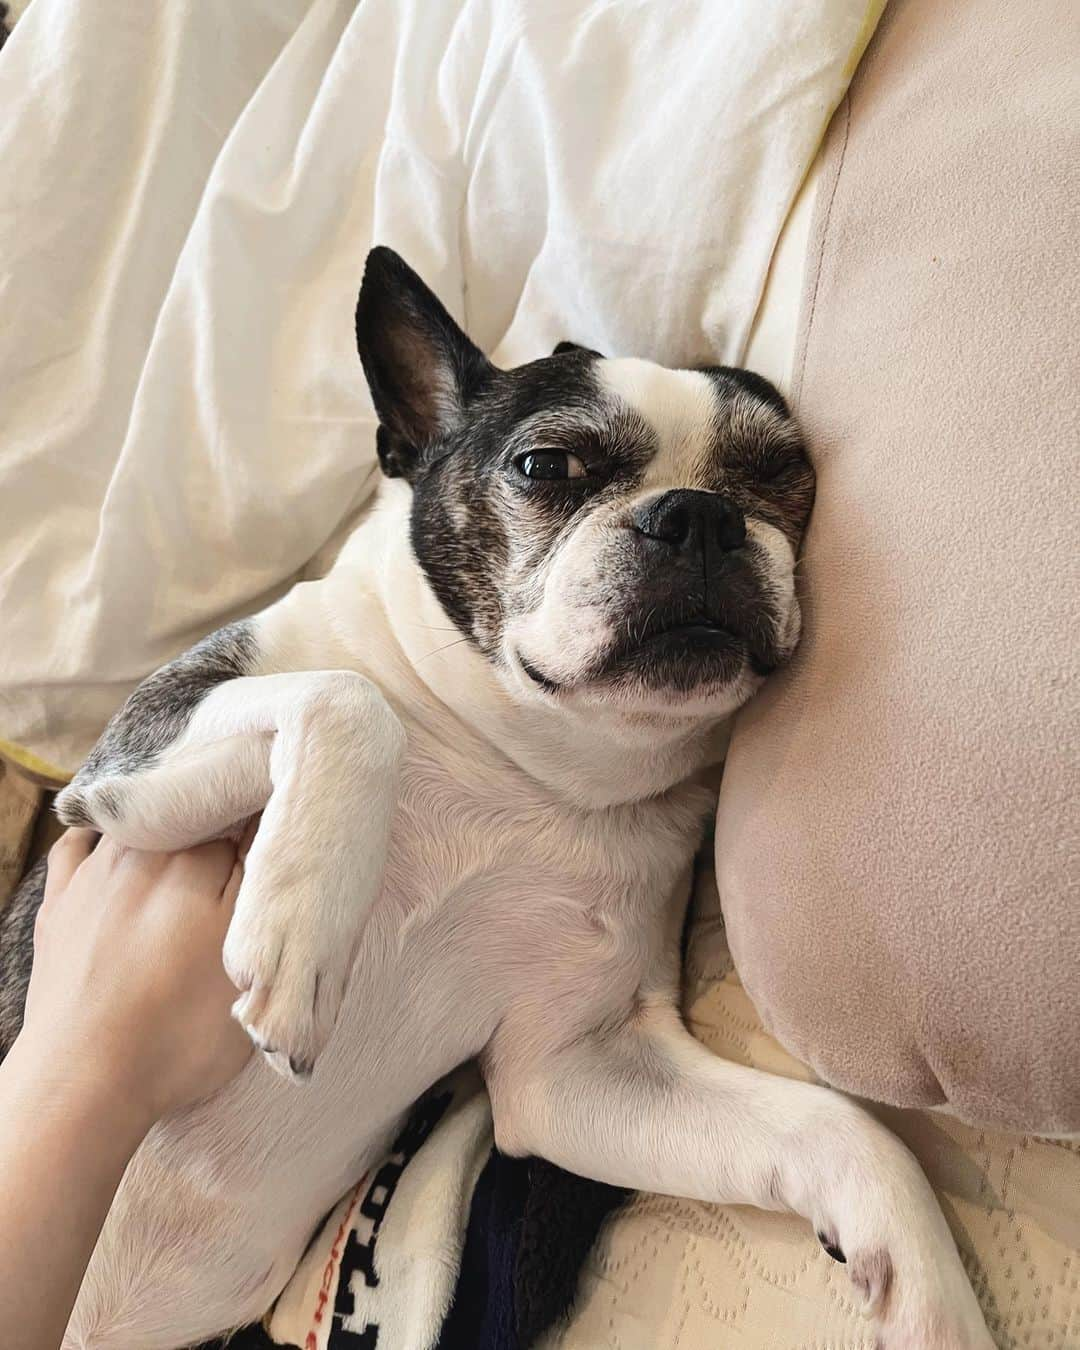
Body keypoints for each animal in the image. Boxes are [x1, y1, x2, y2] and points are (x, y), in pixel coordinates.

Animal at [2, 253, 993, 1350]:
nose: (698, 512)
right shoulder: (119, 768)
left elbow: (844, 1130)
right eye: (545, 468)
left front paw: (931, 1299)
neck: (516, 761)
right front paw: (302, 940)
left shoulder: (572, 1069)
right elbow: (350, 699)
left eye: (783, 475)